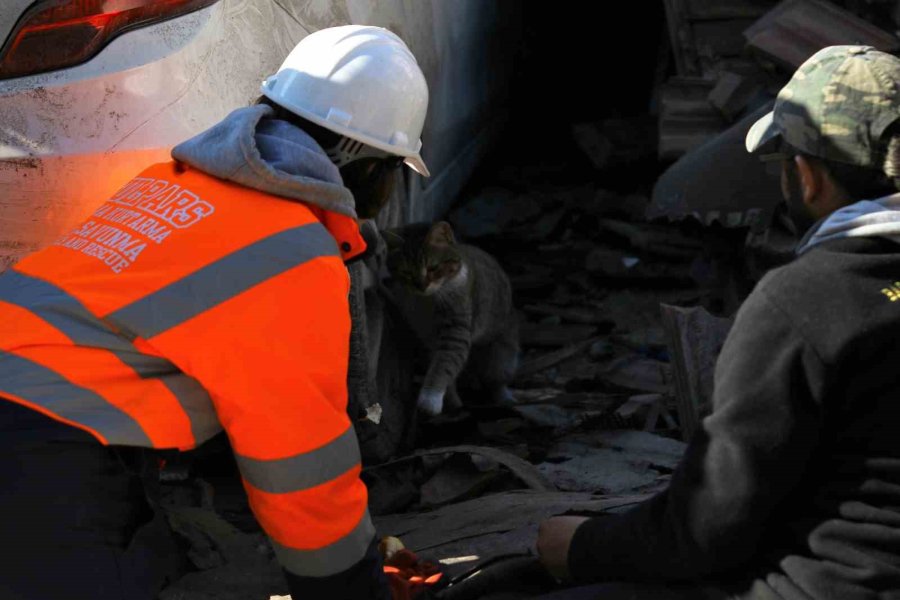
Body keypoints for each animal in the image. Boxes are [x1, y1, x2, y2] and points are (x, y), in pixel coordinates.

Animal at [382, 221, 520, 418]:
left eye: (433, 267)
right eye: (406, 272)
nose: (421, 285)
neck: (427, 301)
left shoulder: (456, 331)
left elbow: (444, 364)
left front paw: (429, 401)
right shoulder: (426, 337)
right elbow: (443, 369)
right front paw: (452, 402)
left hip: (502, 355)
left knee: (497, 380)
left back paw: (504, 398)